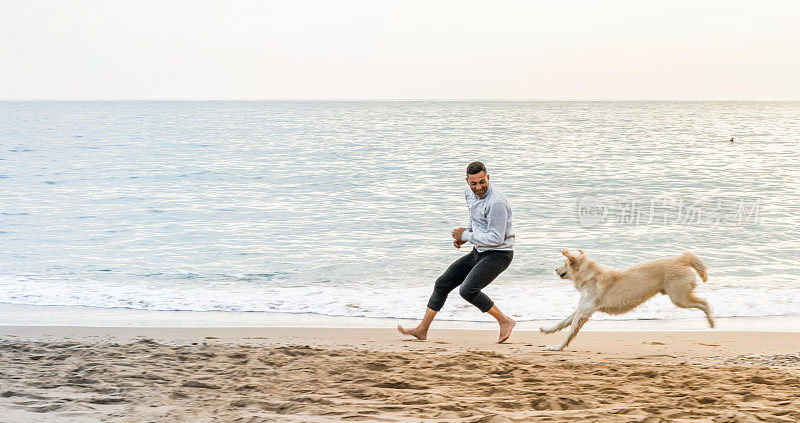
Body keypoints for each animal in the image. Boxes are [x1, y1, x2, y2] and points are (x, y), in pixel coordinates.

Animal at [540, 252, 716, 352]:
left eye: (564, 263)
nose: (555, 269)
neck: (589, 277)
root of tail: (680, 259)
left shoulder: (584, 312)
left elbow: (569, 332)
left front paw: (557, 347)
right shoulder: (582, 308)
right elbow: (562, 322)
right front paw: (547, 330)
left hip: (679, 298)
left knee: (704, 303)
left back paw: (712, 322)